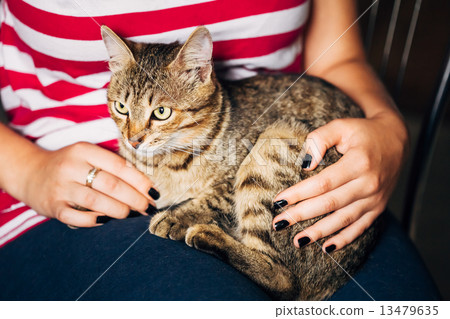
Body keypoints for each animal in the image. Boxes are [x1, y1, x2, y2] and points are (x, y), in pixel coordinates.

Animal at [101, 26, 380, 302]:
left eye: (161, 112)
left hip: (274, 144)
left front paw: (177, 217)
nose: (133, 140)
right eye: (121, 107)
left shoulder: (233, 178)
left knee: (284, 281)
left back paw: (208, 236)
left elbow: (212, 200)